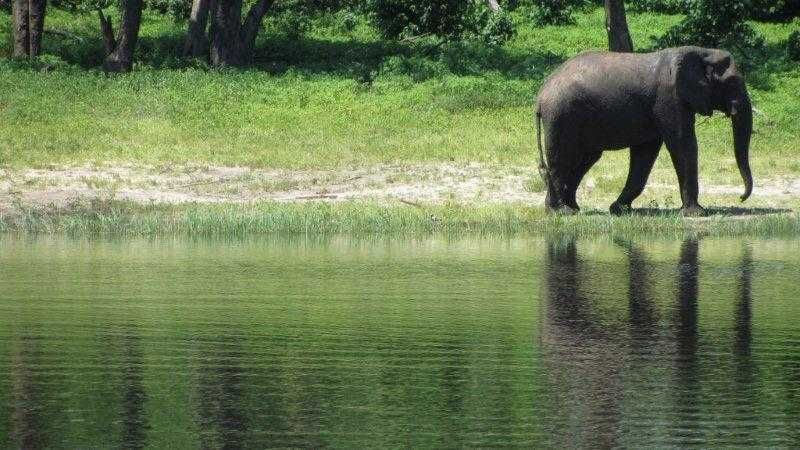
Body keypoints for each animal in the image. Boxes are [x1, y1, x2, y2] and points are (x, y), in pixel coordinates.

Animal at [535, 46, 753, 216]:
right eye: (732, 82)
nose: (741, 197)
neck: (702, 51)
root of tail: (541, 94)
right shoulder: (669, 98)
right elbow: (683, 144)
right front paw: (697, 213)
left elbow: (645, 153)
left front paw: (619, 210)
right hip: (561, 115)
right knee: (562, 158)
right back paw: (560, 211)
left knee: (585, 159)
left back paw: (570, 208)